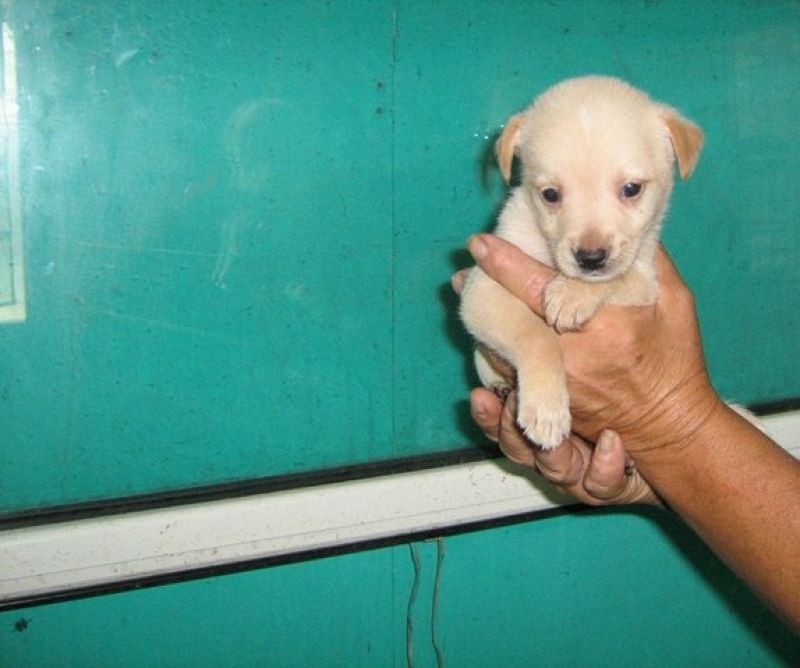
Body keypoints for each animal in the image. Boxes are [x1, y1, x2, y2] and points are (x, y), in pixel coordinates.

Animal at [460, 75, 704, 452]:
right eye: (550, 195)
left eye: (631, 189)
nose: (590, 258)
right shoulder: (482, 289)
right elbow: (535, 334)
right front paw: (546, 409)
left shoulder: (645, 279)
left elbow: (615, 278)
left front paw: (570, 294)